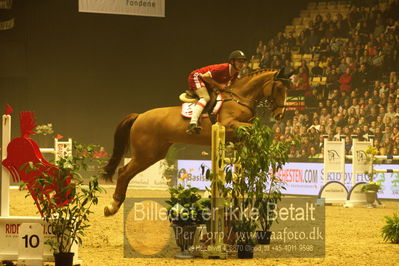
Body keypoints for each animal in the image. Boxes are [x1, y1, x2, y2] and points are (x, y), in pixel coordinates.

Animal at [103, 68, 290, 216]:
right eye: (279, 88)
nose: (280, 115)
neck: (240, 98)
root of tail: (139, 116)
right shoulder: (228, 125)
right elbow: (254, 129)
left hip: (155, 153)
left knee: (126, 172)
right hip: (145, 154)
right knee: (124, 172)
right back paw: (112, 207)